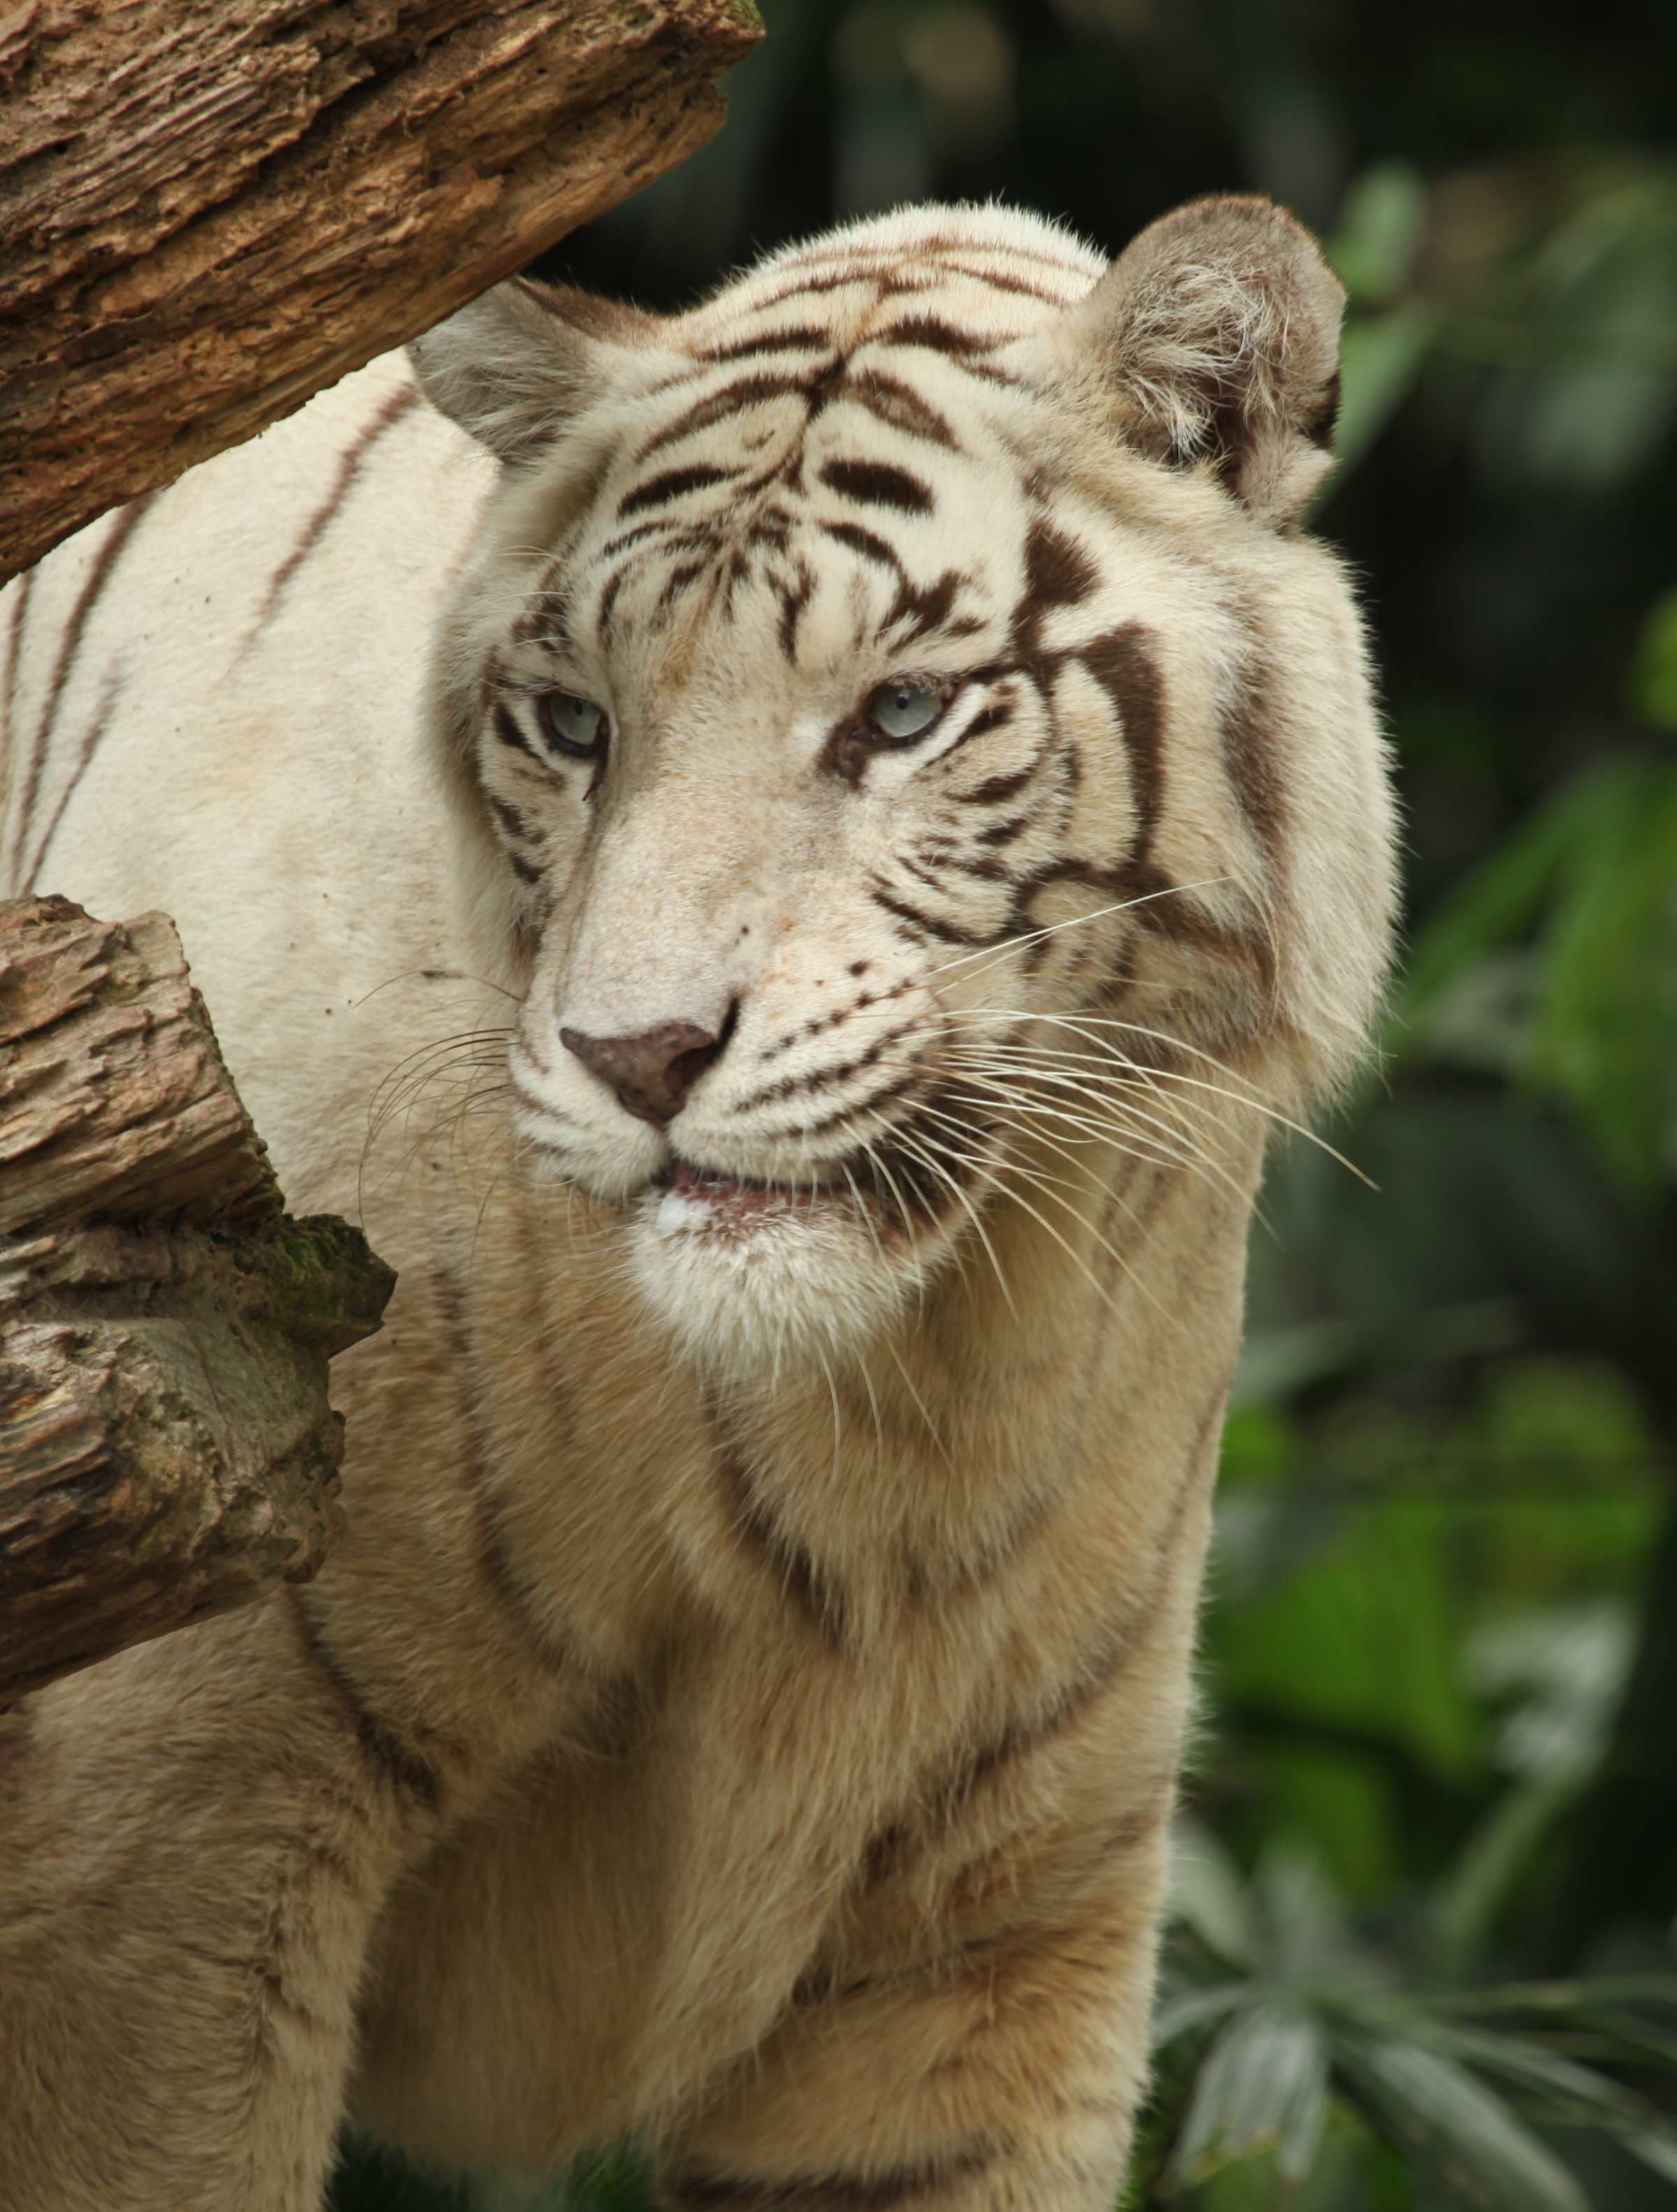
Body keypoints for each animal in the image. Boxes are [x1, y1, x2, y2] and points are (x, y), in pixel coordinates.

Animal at [0, 195, 1394, 2211]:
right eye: (574, 724)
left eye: (904, 711)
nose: (637, 1052)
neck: (904, 1396)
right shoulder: (165, 1843)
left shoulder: (990, 1931)